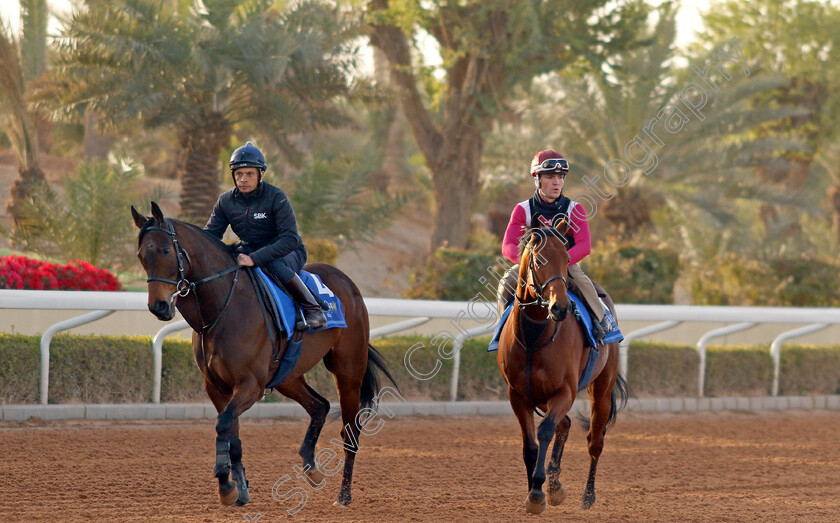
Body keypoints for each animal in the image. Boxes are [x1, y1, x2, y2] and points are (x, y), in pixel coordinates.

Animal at [130, 203, 398, 510]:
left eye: (165, 251)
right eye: (141, 255)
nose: (159, 307)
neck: (223, 309)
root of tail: (347, 282)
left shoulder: (250, 385)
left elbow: (224, 425)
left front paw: (226, 484)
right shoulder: (217, 386)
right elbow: (231, 432)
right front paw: (240, 488)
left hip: (348, 369)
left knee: (350, 430)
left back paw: (343, 496)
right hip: (288, 375)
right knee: (319, 406)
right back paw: (312, 469)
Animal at [496, 221, 628, 516]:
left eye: (567, 259)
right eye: (538, 260)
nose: (560, 307)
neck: (533, 338)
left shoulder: (564, 391)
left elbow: (545, 431)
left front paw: (537, 491)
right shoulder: (518, 395)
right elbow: (530, 445)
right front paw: (536, 491)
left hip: (601, 388)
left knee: (595, 440)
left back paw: (587, 496)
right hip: (541, 396)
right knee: (565, 423)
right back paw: (555, 485)